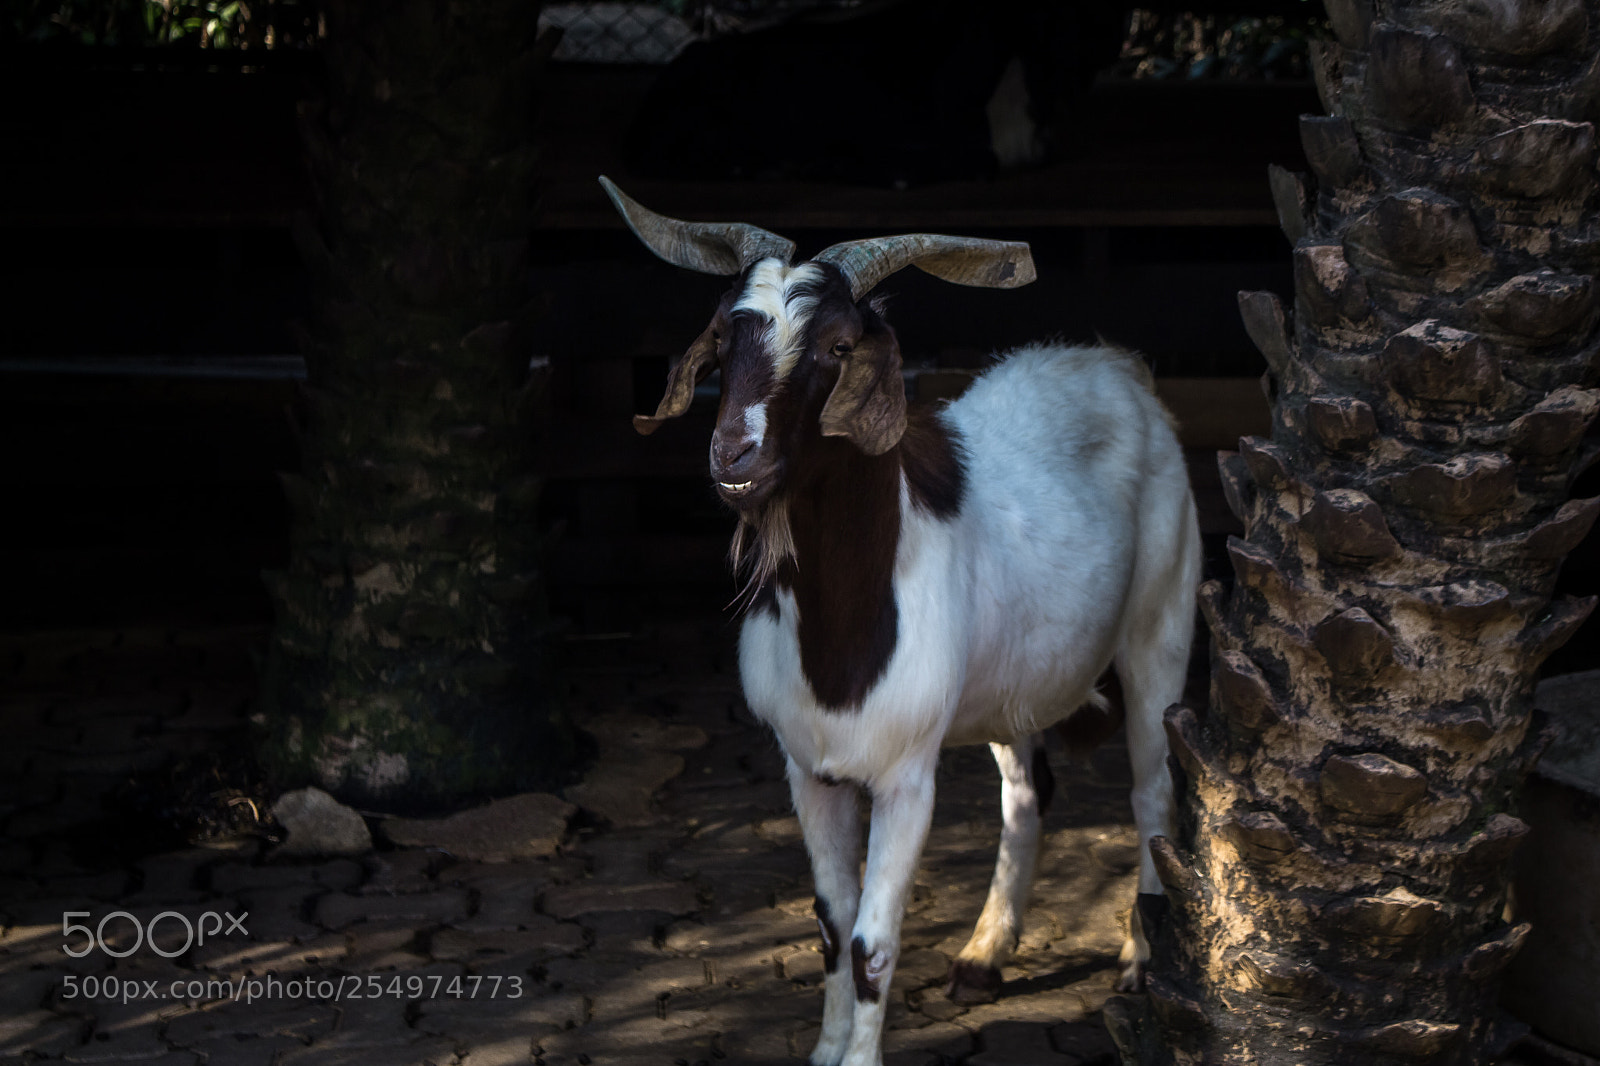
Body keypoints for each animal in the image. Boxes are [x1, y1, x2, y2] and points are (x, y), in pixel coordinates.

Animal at [600, 177, 1200, 1066]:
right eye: (726, 336)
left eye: (838, 347)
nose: (733, 458)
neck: (842, 634)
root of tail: (1110, 364)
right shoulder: (807, 771)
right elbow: (829, 926)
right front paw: (825, 1050)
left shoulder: (906, 776)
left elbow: (872, 946)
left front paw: (858, 1053)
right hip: (1007, 684)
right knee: (1027, 792)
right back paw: (984, 956)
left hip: (1161, 619)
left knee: (1154, 788)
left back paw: (1138, 961)